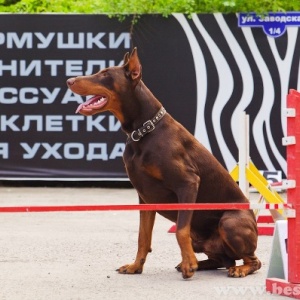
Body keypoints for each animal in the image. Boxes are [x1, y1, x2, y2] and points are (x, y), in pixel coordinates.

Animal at [67, 47, 262, 278]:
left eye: (105, 74)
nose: (69, 80)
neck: (143, 131)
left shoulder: (188, 183)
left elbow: (180, 231)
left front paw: (188, 264)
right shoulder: (145, 196)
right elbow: (143, 236)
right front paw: (136, 266)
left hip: (230, 221)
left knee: (253, 260)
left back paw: (237, 268)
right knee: (223, 259)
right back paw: (202, 263)